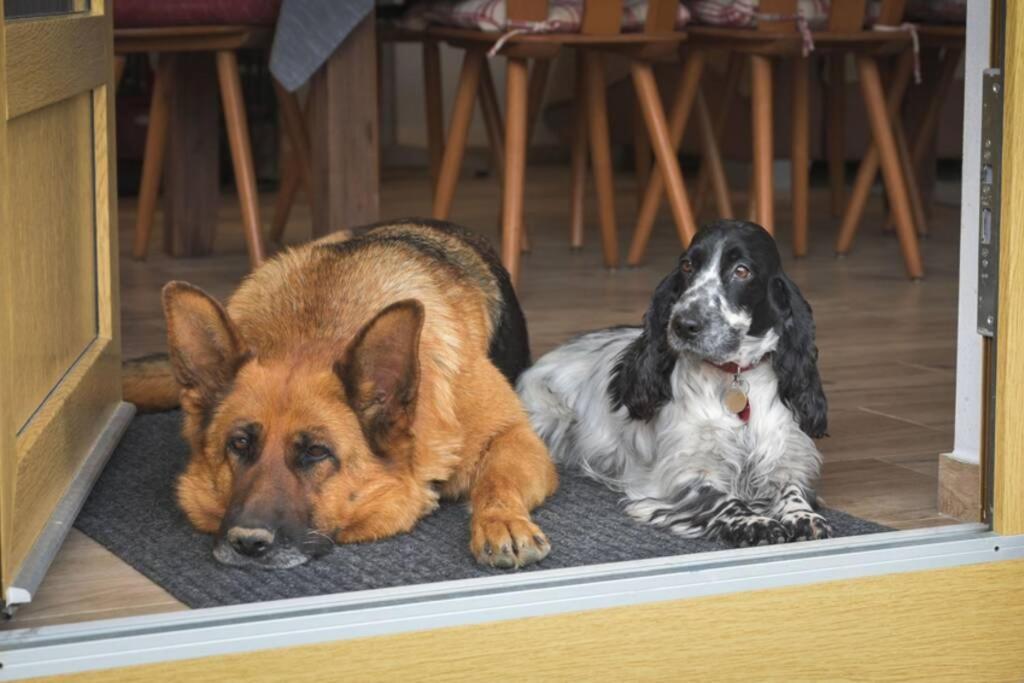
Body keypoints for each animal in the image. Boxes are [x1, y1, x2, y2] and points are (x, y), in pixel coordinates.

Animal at [129, 222, 565, 569]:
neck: (310, 334)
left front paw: (501, 522)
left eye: (315, 452)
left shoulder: (517, 436)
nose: (248, 543)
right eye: (238, 444)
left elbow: (496, 479)